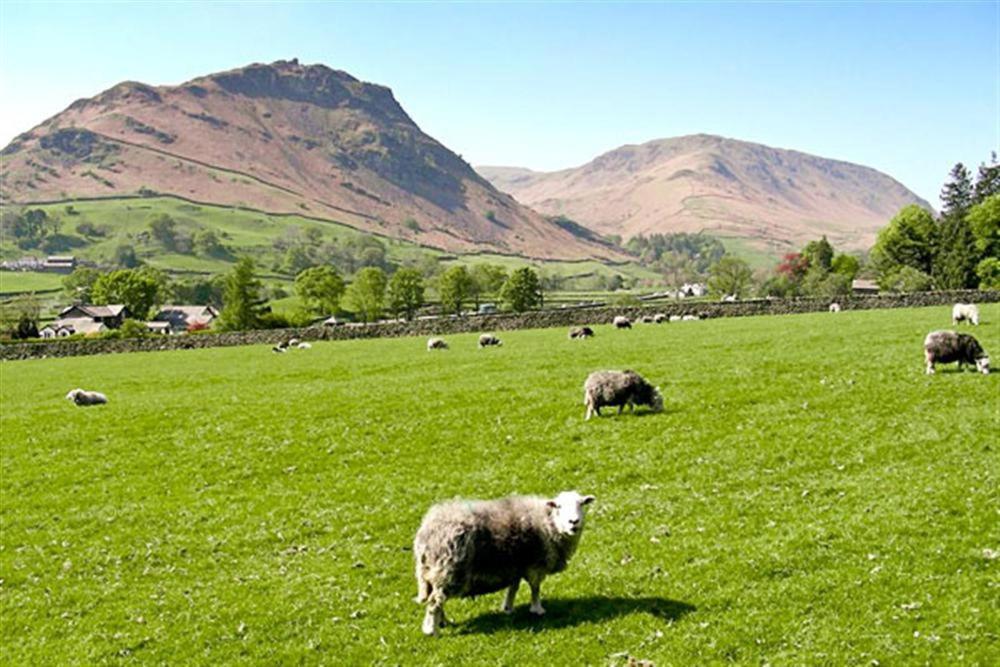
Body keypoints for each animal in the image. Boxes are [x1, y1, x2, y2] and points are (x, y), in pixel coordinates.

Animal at [412, 490, 592, 636]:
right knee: (435, 601)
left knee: (436, 599)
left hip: (433, 574)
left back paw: (443, 622)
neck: (548, 523)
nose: (574, 522)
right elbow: (535, 588)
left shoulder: (516, 565)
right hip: (449, 570)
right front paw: (537, 609)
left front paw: (508, 608)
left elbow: (514, 586)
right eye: (559, 507)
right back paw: (432, 630)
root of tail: (427, 532)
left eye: (581, 504)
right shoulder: (535, 565)